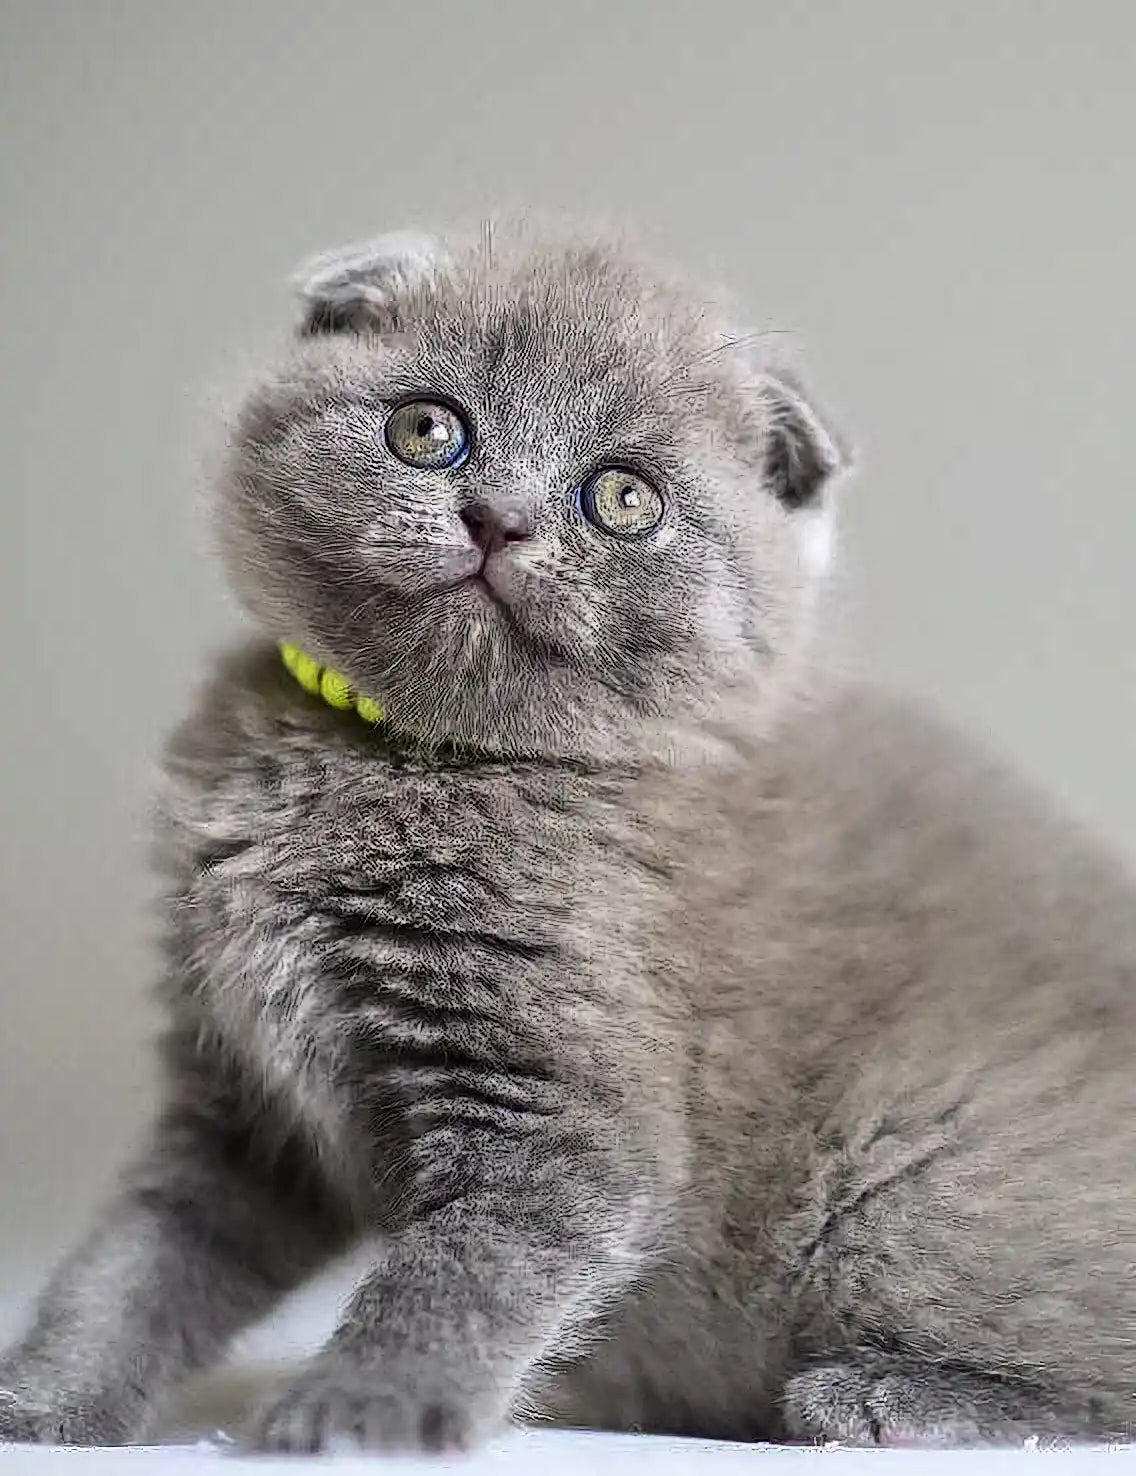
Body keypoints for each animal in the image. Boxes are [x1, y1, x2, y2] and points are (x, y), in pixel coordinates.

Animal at [2, 218, 1133, 1452]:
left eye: (623, 498)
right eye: (428, 429)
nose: (496, 518)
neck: (409, 757)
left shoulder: (557, 1110)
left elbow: (461, 1274)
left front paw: (358, 1409)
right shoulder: (243, 1109)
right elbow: (137, 1262)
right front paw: (43, 1400)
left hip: (911, 1165)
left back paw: (884, 1396)